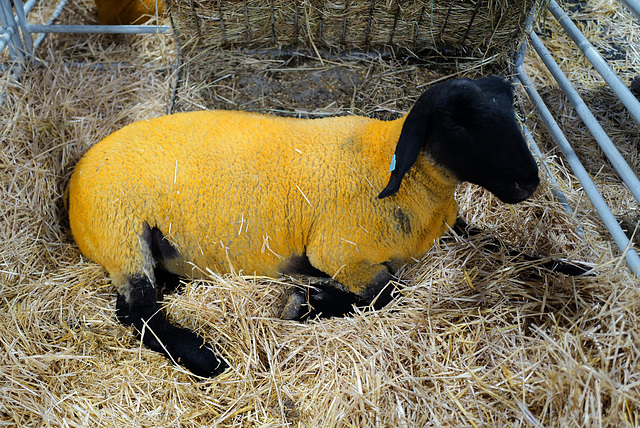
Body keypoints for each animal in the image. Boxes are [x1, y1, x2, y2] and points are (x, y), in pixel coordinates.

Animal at [71, 77, 552, 378]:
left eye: (512, 113)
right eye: (459, 121)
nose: (530, 182)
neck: (397, 172)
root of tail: (74, 182)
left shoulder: (451, 227)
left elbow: (499, 243)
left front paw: (562, 267)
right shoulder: (338, 252)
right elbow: (387, 293)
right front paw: (305, 303)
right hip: (122, 234)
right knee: (138, 312)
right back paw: (206, 359)